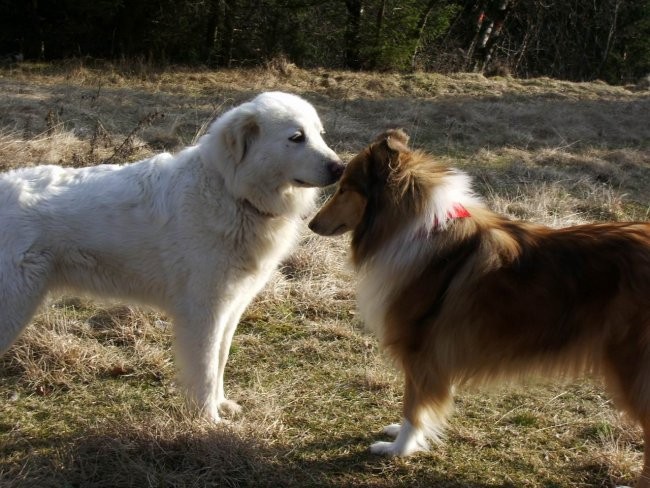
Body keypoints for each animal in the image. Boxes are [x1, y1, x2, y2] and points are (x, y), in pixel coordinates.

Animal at [0, 93, 342, 422]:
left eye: (319, 134)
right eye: (296, 137)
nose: (339, 168)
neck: (231, 191)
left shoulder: (231, 308)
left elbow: (220, 360)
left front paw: (221, 404)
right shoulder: (203, 311)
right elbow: (205, 369)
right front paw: (209, 420)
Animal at [308, 127, 648, 486]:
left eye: (345, 188)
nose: (311, 224)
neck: (410, 228)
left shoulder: (420, 352)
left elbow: (413, 405)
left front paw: (398, 448)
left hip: (631, 366)